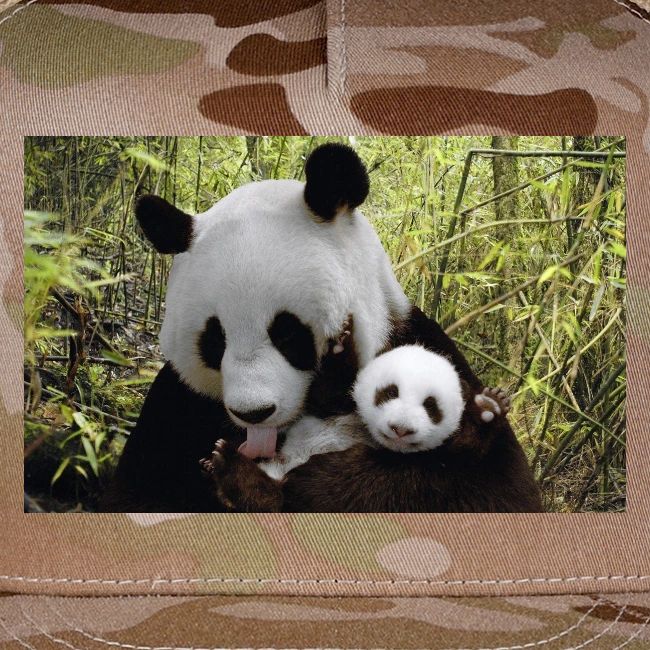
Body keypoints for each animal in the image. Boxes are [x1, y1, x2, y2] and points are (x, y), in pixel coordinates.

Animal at [100, 143, 540, 513]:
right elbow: (137, 493)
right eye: (215, 340)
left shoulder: (421, 346)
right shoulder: (178, 404)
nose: (254, 413)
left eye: (287, 333)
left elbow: (491, 488)